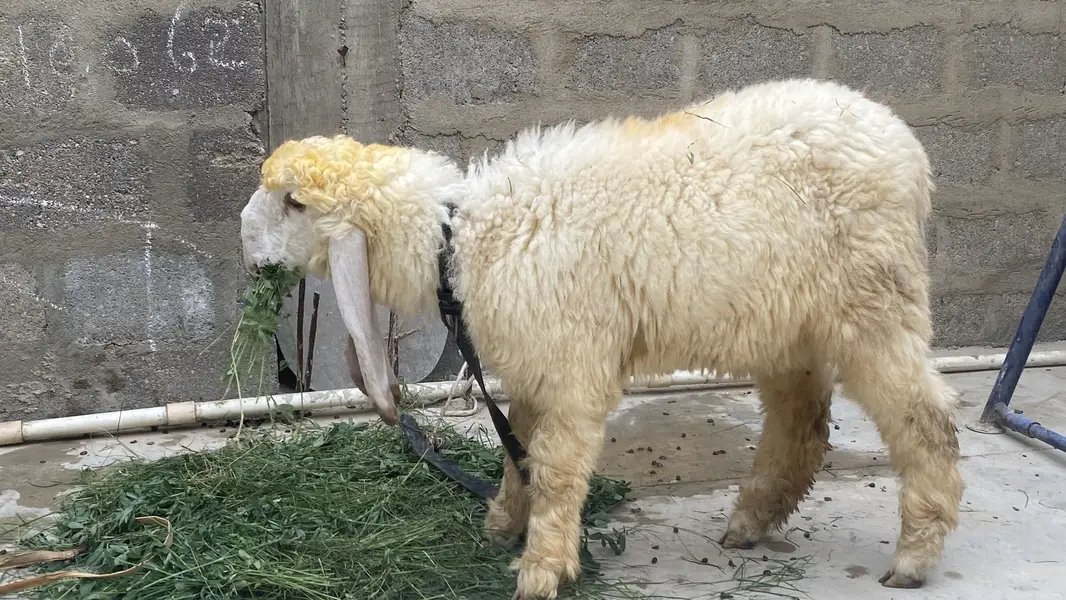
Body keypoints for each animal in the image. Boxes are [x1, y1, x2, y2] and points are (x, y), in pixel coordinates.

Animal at [240, 77, 964, 599]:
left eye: (295, 203)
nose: (244, 243)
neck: (461, 241)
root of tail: (907, 149)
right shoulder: (534, 366)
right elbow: (518, 450)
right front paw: (504, 524)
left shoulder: (571, 368)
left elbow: (557, 469)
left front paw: (542, 569)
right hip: (786, 322)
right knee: (802, 423)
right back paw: (749, 523)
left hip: (873, 301)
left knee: (924, 419)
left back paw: (914, 555)